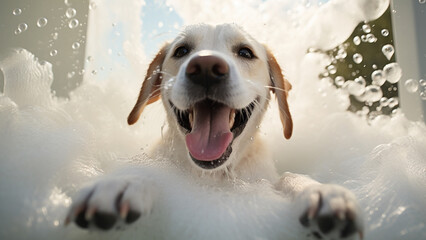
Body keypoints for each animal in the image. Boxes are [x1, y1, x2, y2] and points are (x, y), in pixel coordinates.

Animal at [65, 23, 362, 240]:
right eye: (182, 51)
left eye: (245, 52)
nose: (206, 67)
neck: (213, 177)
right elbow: (147, 173)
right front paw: (122, 184)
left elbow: (291, 176)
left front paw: (322, 193)